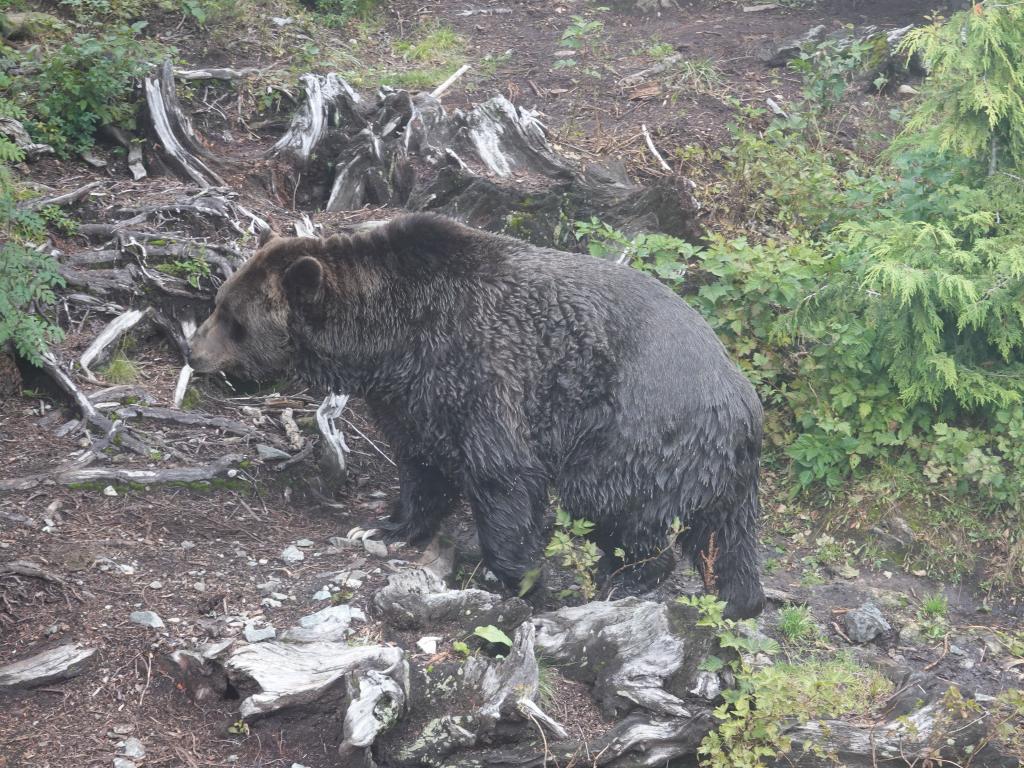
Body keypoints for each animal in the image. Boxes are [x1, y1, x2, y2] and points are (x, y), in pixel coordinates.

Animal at [190, 215, 770, 618]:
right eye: (218, 302)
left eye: (234, 318)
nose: (193, 353)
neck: (391, 340)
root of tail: (744, 402)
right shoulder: (413, 397)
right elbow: (421, 463)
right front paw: (389, 524)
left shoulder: (479, 369)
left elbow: (502, 473)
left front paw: (524, 577)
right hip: (716, 471)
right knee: (727, 536)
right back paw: (737, 598)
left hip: (637, 432)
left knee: (615, 503)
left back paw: (625, 576)